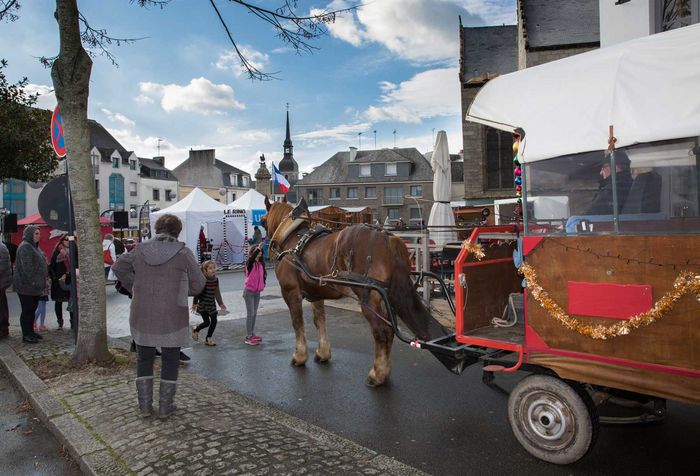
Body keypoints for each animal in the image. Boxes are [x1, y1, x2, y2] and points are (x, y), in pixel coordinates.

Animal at [260, 197, 446, 386]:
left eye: (262, 220)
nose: (265, 248)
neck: (293, 240)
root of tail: (387, 238)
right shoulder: (317, 294)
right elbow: (319, 321)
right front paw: (323, 353)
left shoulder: (290, 292)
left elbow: (297, 324)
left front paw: (299, 356)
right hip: (383, 297)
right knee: (389, 330)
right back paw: (384, 371)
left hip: (368, 297)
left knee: (382, 331)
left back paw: (377, 374)